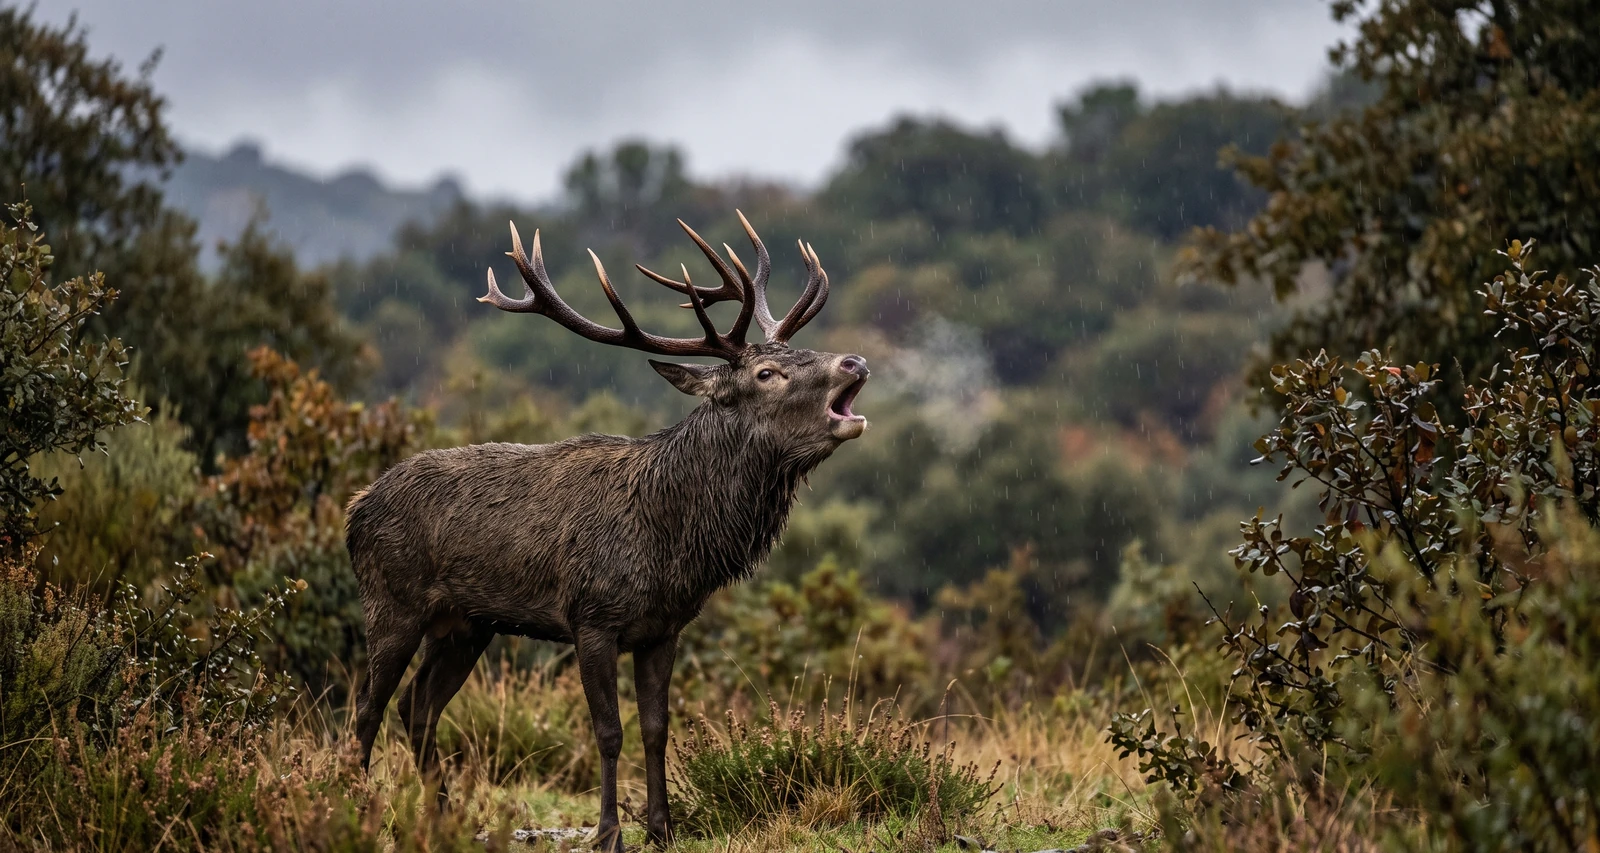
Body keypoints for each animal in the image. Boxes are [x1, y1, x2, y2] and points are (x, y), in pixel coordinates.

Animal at [344, 211, 868, 852]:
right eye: (767, 373)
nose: (853, 363)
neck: (671, 541)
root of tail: (354, 511)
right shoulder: (591, 618)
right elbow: (608, 731)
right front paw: (609, 832)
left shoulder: (663, 629)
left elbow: (656, 727)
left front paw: (662, 829)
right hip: (392, 602)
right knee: (368, 706)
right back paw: (353, 810)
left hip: (467, 625)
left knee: (417, 705)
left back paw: (445, 820)